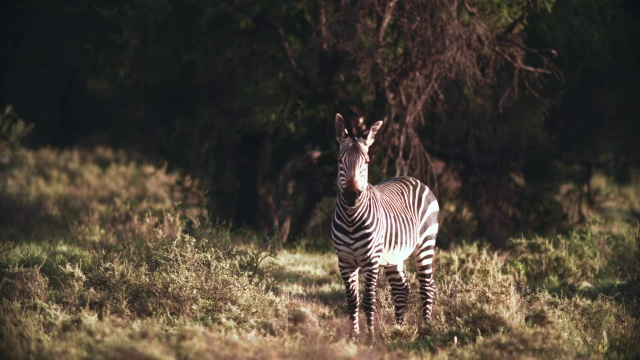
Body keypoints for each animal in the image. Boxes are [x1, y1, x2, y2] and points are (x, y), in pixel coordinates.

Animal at [330, 113, 440, 338]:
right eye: (339, 161)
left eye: (366, 161)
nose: (351, 196)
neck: (351, 219)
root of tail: (413, 178)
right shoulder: (344, 261)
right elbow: (352, 301)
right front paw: (354, 336)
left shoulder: (371, 261)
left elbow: (368, 301)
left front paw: (370, 336)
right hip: (393, 257)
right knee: (402, 289)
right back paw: (399, 328)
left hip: (425, 243)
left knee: (427, 286)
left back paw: (426, 328)